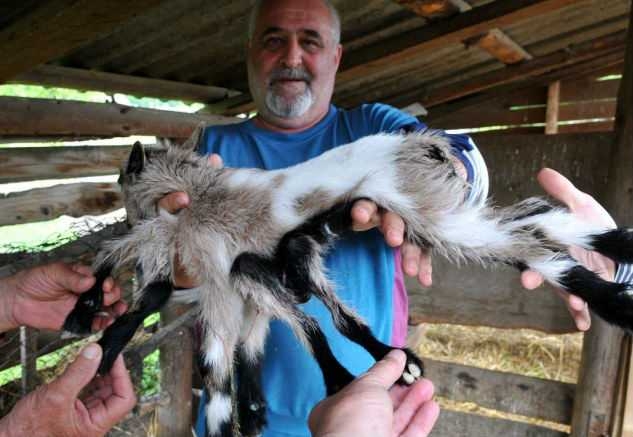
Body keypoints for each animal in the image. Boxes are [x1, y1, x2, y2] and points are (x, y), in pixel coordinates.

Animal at [63, 130, 632, 436]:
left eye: (122, 180)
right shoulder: (275, 271)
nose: (125, 210)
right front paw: (395, 363)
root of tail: (420, 144)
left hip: (433, 216)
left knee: (531, 241)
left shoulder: (220, 269)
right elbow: (325, 325)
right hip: (437, 215)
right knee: (536, 224)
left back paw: (614, 298)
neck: (197, 192)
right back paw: (616, 255)